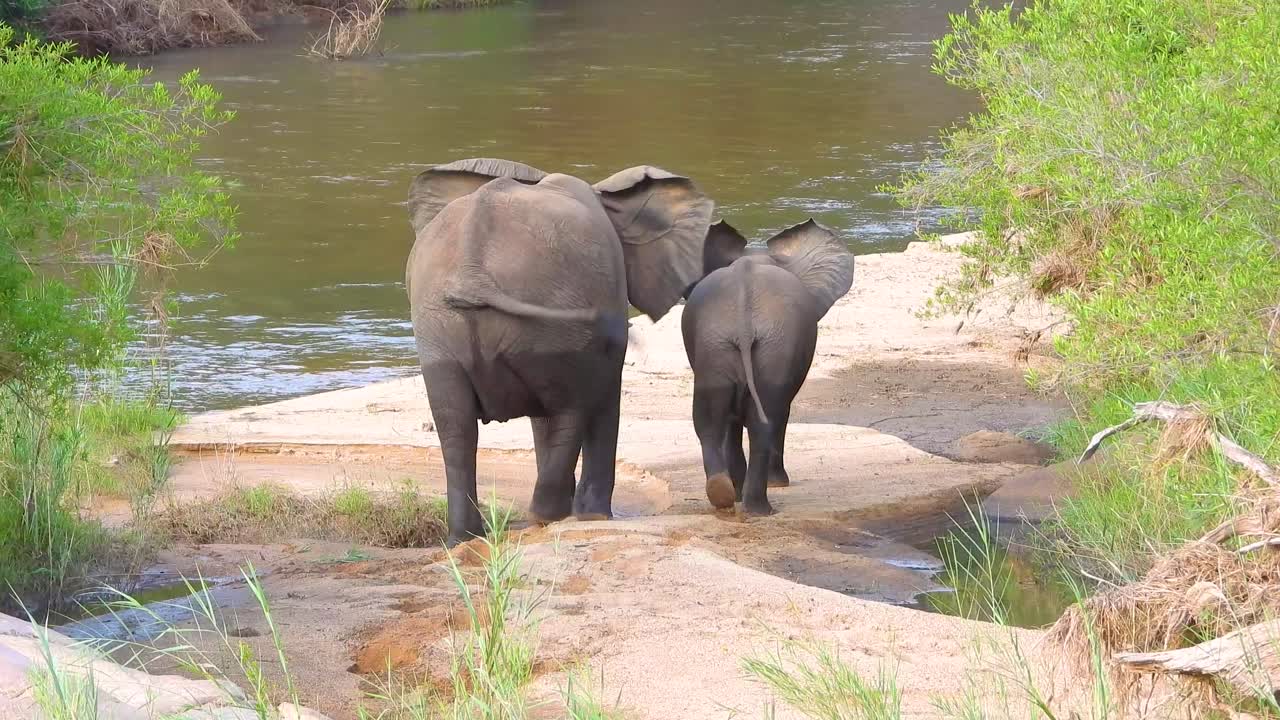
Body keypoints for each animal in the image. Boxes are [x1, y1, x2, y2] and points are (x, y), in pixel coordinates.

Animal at [405, 158, 714, 545]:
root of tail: (473, 273)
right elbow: (604, 397)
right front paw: (595, 517)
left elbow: (543, 418)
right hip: (541, 323)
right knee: (572, 406)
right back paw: (547, 517)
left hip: (445, 329)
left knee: (456, 425)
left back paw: (469, 537)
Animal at [680, 218, 854, 516]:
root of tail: (744, 316)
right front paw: (778, 484)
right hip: (774, 346)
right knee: (766, 419)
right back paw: (760, 505)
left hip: (718, 346)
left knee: (710, 419)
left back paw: (727, 496)